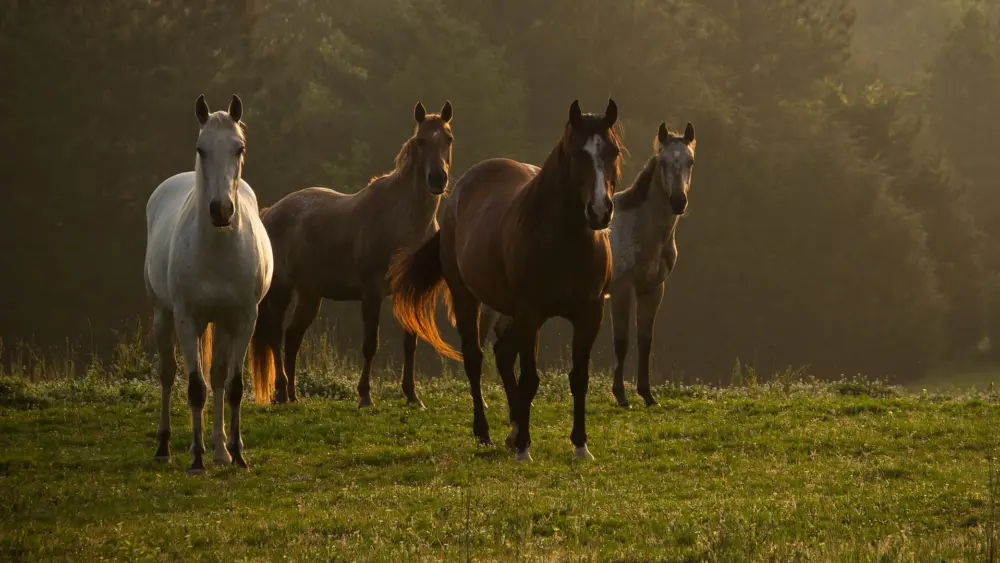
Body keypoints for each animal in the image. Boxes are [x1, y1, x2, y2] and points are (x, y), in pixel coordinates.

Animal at [144, 94, 274, 475]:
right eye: (201, 148)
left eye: (239, 147)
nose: (221, 210)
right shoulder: (187, 320)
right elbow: (195, 389)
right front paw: (196, 460)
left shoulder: (243, 320)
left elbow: (232, 386)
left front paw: (238, 454)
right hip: (163, 315)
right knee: (168, 375)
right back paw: (165, 447)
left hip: (222, 324)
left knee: (217, 377)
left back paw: (220, 451)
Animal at [249, 101, 454, 408]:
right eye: (421, 140)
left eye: (448, 139)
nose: (438, 179)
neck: (403, 222)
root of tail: (270, 212)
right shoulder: (371, 293)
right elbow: (370, 344)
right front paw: (365, 396)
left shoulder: (406, 291)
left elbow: (410, 344)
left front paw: (412, 396)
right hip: (281, 289)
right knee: (275, 334)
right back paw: (282, 392)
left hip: (310, 295)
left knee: (293, 337)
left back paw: (294, 395)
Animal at [390, 99, 622, 461]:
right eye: (576, 154)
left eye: (613, 151)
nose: (600, 211)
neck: (564, 241)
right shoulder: (531, 313)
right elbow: (529, 379)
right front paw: (525, 447)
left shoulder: (589, 314)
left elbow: (578, 378)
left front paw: (580, 445)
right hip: (468, 298)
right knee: (475, 358)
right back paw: (485, 432)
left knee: (502, 353)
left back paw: (513, 428)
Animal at [480, 121, 696, 408]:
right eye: (663, 162)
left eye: (690, 161)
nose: (678, 201)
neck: (640, 227)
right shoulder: (622, 291)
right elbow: (622, 341)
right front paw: (621, 395)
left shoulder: (652, 289)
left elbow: (645, 340)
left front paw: (648, 396)